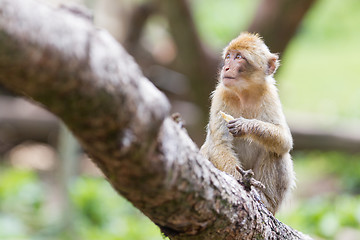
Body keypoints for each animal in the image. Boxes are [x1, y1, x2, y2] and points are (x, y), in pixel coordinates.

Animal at [200, 31, 296, 214]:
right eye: (228, 56)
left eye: (238, 57)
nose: (226, 67)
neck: (245, 93)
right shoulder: (221, 94)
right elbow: (219, 146)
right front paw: (242, 184)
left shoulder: (270, 95)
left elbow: (285, 140)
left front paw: (245, 126)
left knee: (275, 151)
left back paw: (266, 200)